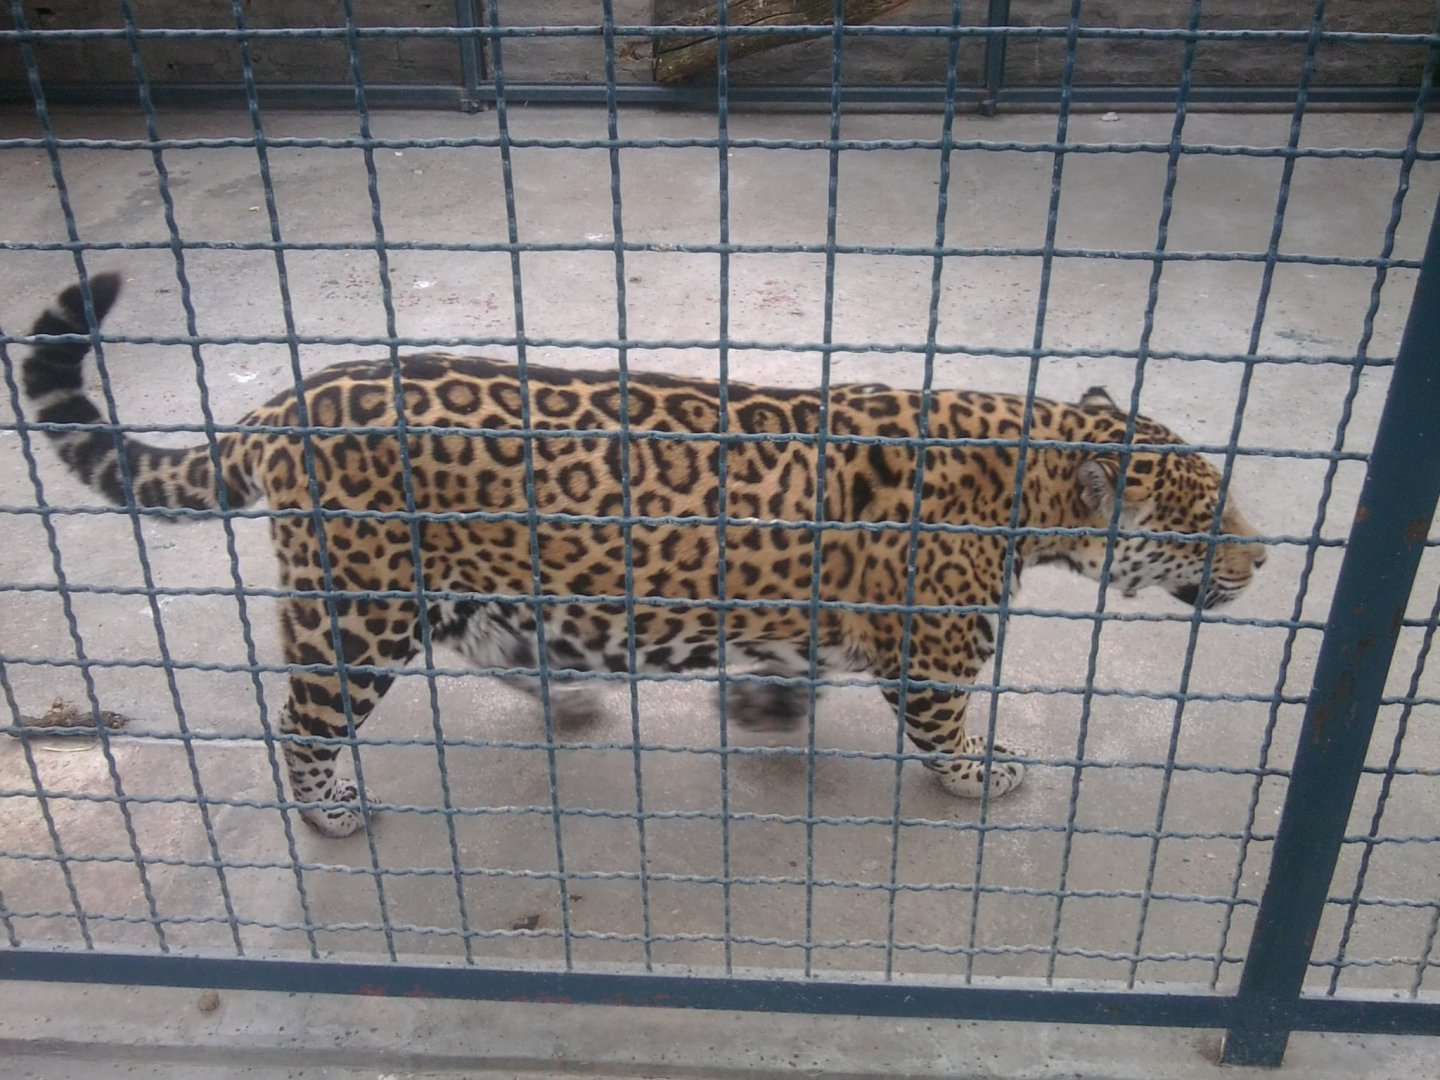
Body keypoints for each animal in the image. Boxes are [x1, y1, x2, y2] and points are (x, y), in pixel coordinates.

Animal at [18, 274, 1266, 838]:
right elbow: (948, 727)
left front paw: (764, 710)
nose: (1263, 563)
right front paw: (985, 773)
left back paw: (565, 692)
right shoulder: (933, 653)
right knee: (303, 719)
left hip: (464, 580)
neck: (1032, 480)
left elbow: (788, 662)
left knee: (489, 640)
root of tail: (287, 402)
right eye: (1205, 519)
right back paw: (333, 809)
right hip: (357, 606)